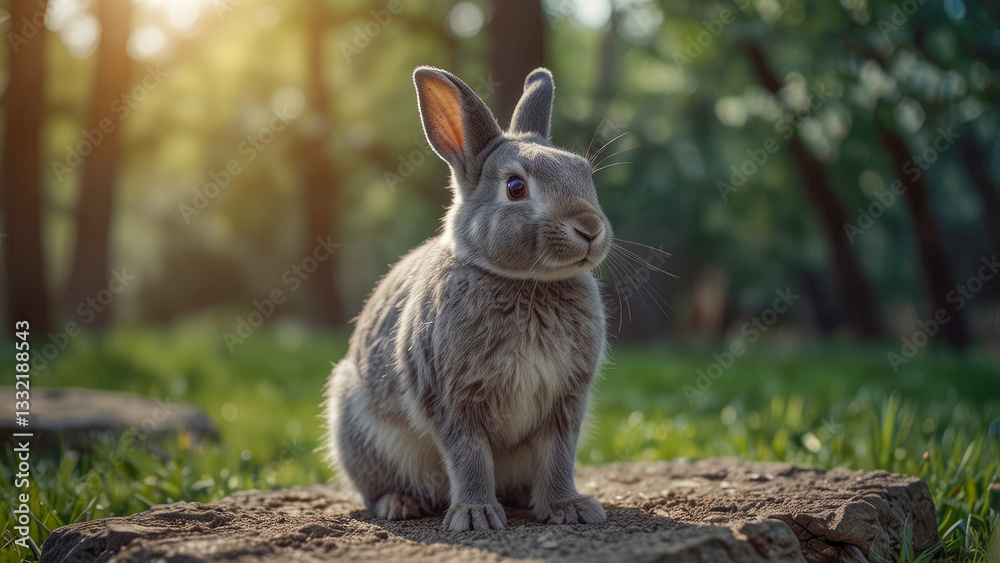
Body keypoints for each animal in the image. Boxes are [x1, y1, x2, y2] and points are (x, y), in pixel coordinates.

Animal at [322, 65, 612, 532]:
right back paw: (401, 503)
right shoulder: (452, 396)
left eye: (585, 173)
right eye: (516, 187)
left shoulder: (565, 400)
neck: (525, 281)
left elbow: (558, 456)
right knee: (376, 487)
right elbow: (468, 455)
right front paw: (476, 517)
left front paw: (571, 508)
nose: (589, 228)